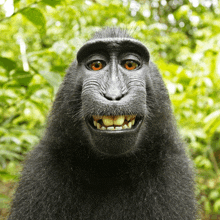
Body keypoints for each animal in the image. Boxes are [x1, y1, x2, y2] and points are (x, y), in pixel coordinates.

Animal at [7, 27, 197, 220]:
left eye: (130, 64)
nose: (113, 95)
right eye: (96, 65)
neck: (109, 170)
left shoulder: (171, 168)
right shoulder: (42, 168)